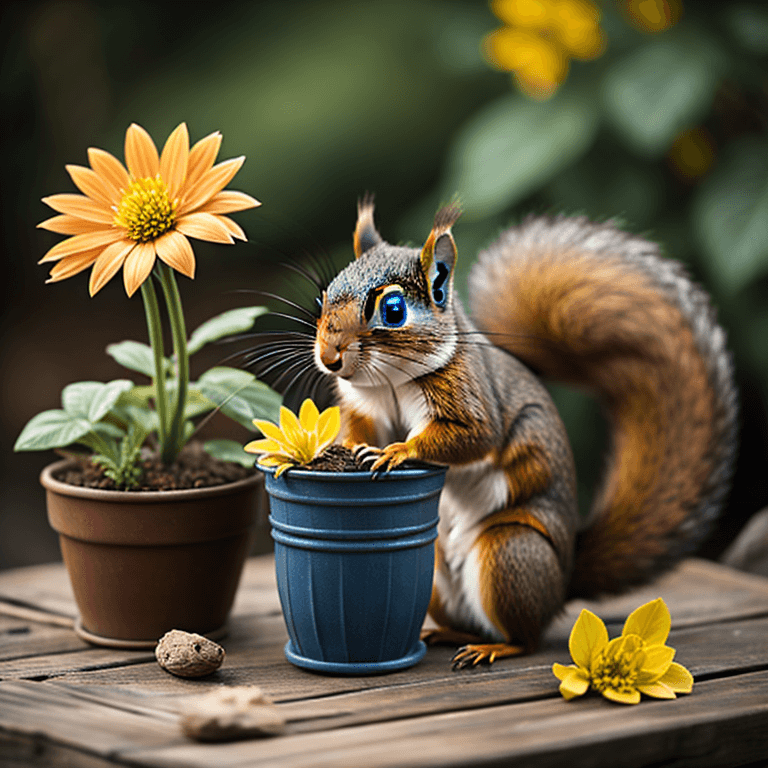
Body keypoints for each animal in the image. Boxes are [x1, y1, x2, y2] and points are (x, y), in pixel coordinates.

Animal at [312, 196, 738, 668]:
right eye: (324, 295)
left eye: (392, 311)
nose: (329, 357)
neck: (391, 381)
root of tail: (562, 583)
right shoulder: (365, 406)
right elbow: (360, 431)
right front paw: (340, 450)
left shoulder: (473, 397)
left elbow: (473, 437)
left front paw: (398, 452)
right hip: (439, 568)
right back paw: (448, 633)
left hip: (509, 552)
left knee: (526, 637)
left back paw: (493, 647)